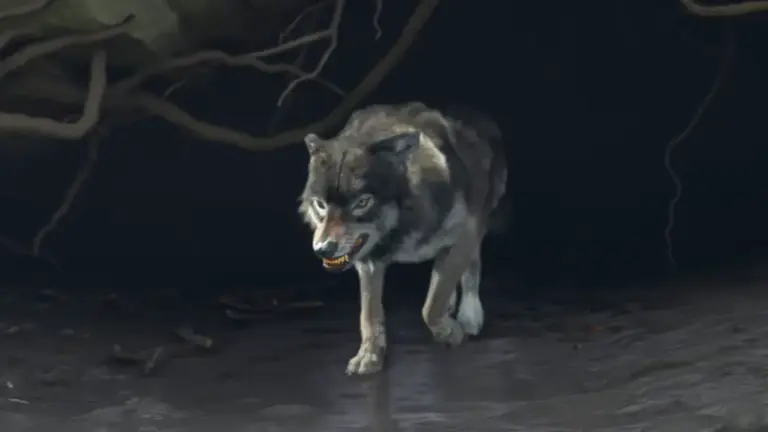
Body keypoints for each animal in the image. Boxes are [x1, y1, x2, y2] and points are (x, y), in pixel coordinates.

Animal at [298, 102, 507, 375]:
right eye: (321, 204)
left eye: (362, 203)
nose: (323, 249)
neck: (400, 229)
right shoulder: (369, 262)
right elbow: (370, 315)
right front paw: (369, 357)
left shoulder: (465, 233)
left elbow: (431, 306)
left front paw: (450, 331)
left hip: (478, 219)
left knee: (471, 265)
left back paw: (469, 315)